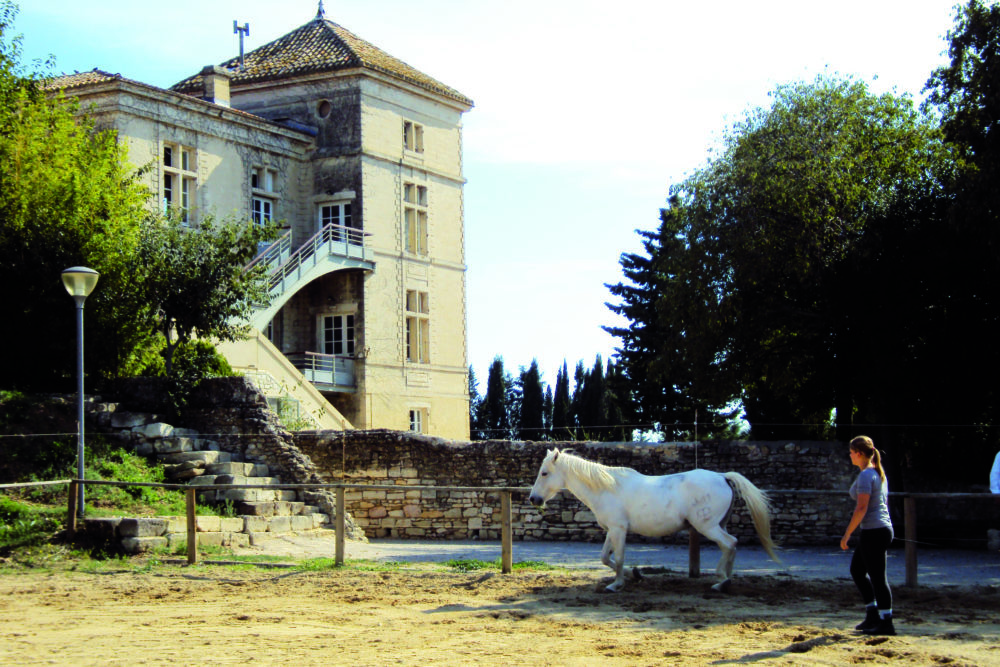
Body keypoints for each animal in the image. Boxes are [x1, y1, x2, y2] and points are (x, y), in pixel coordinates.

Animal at [528, 452, 776, 592]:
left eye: (544, 473)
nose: (534, 499)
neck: (607, 488)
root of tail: (722, 477)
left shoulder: (619, 530)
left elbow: (618, 558)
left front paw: (616, 585)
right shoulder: (612, 530)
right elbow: (605, 558)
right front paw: (636, 575)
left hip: (708, 526)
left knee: (730, 543)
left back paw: (721, 582)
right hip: (718, 524)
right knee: (731, 546)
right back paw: (727, 579)